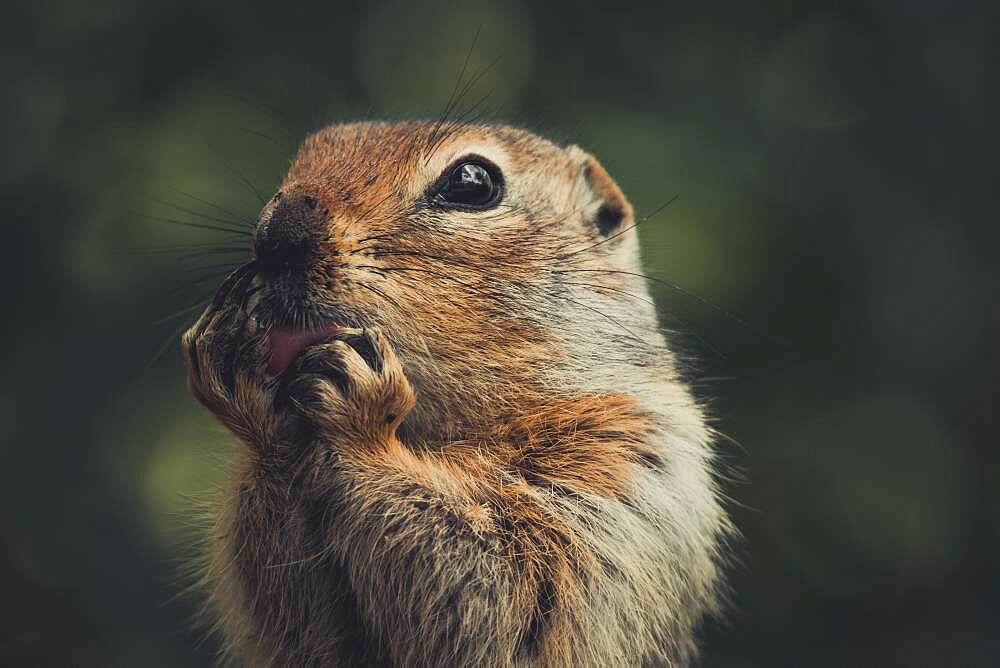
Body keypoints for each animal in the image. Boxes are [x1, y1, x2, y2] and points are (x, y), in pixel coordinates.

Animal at [182, 121, 728, 668]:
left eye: (472, 182)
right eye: (312, 150)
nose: (276, 238)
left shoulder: (617, 474)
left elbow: (510, 597)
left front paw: (363, 424)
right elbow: (306, 631)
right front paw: (250, 394)